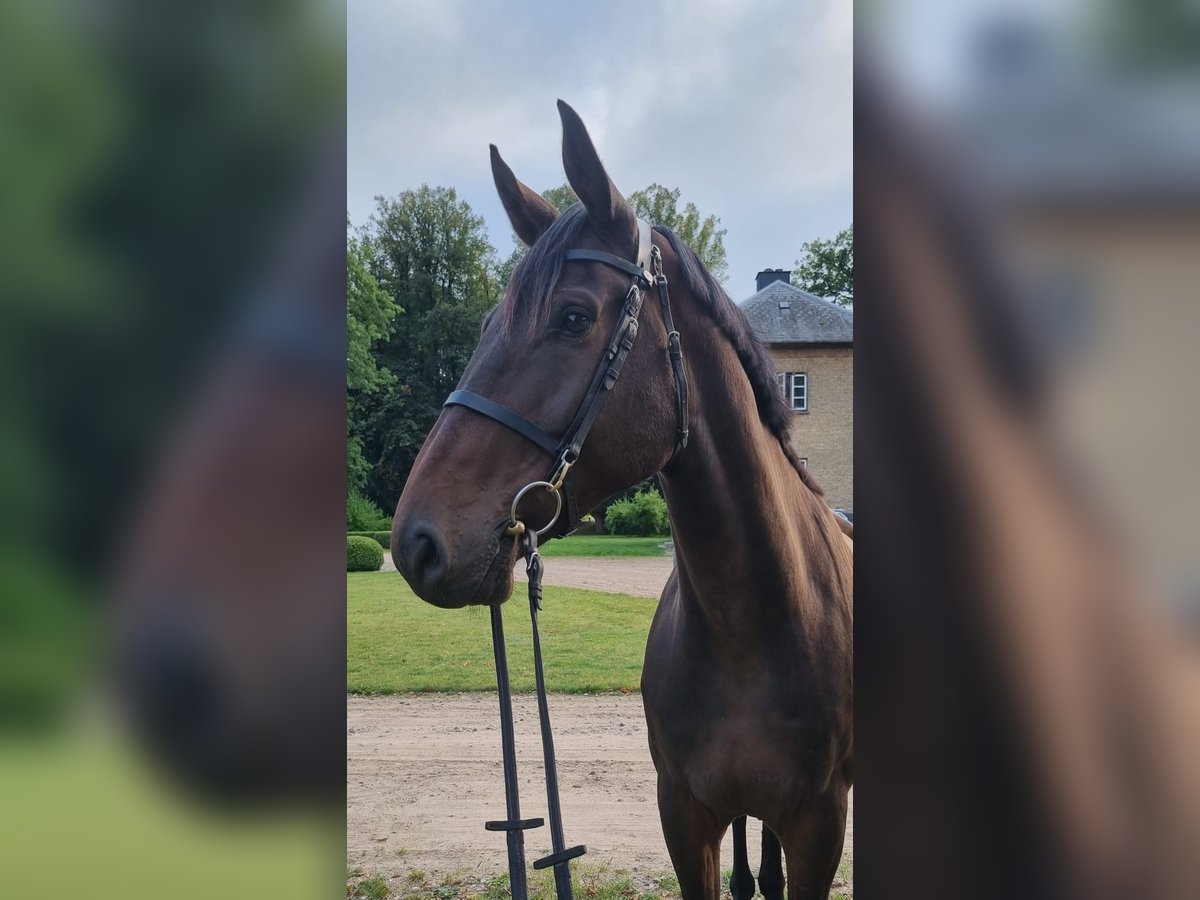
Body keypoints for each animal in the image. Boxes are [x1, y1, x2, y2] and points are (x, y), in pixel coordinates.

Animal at [393, 102, 854, 897]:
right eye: (485, 328)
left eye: (575, 317)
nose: (415, 542)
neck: (751, 624)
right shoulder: (686, 817)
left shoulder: (820, 829)